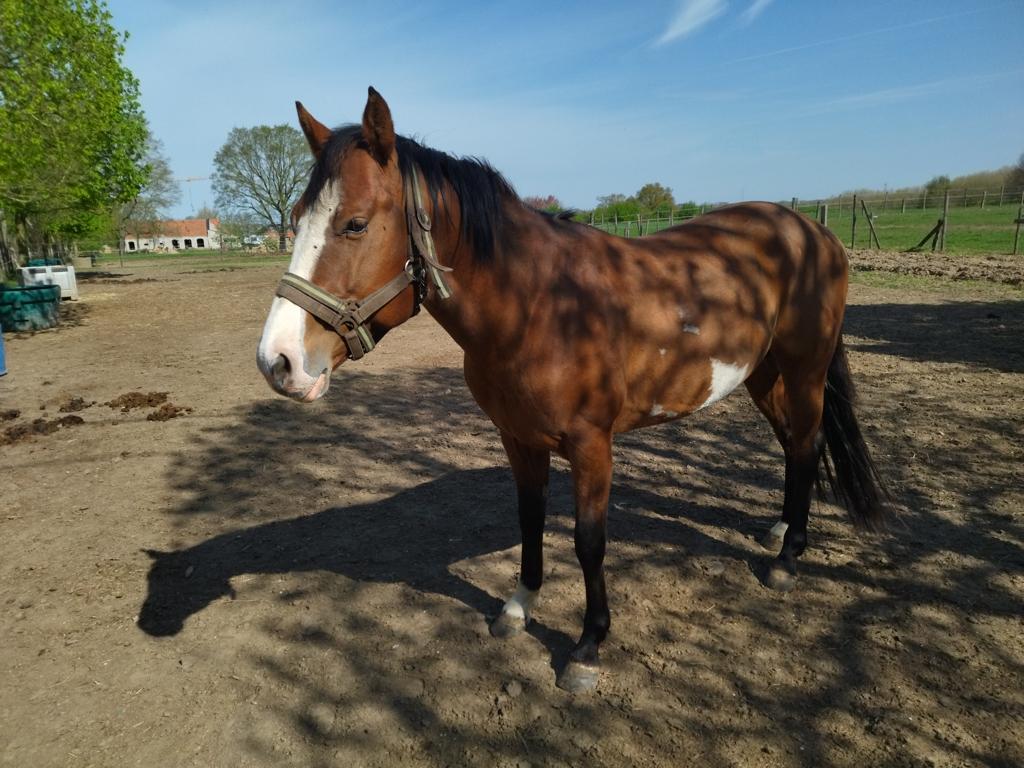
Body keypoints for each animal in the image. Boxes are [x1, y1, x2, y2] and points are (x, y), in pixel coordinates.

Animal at [256, 87, 889, 693]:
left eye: (355, 224)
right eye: (296, 218)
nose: (278, 361)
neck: (541, 307)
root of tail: (814, 231)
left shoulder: (592, 446)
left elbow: (589, 541)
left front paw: (587, 647)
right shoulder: (518, 439)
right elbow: (529, 518)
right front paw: (518, 607)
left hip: (805, 371)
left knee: (806, 445)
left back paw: (788, 558)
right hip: (763, 373)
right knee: (794, 445)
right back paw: (781, 530)